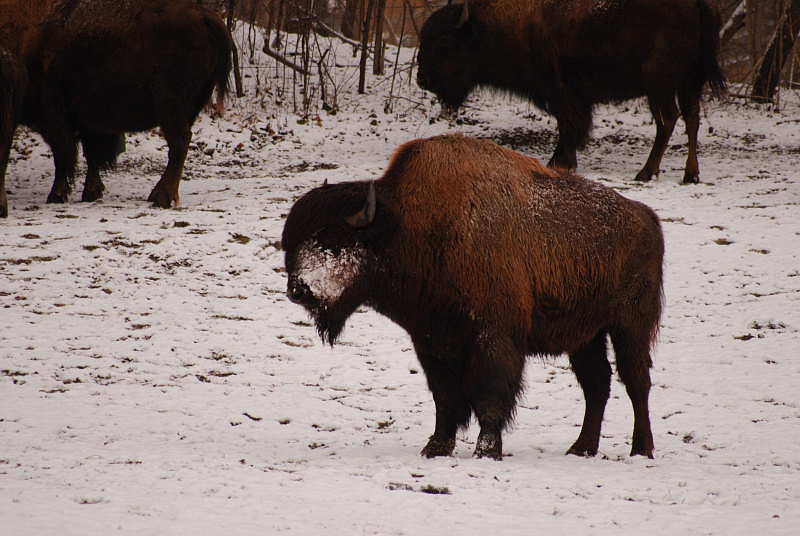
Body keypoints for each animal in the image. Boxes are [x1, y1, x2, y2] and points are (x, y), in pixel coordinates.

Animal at [0, 0, 233, 209]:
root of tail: (204, 15)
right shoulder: (86, 118)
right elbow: (89, 153)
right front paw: (92, 193)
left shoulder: (52, 113)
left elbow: (64, 155)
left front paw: (56, 195)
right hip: (189, 105)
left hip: (170, 104)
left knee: (179, 142)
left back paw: (161, 198)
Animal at [282, 134, 664, 459]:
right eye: (291, 246)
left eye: (332, 241)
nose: (298, 290)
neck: (408, 226)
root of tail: (646, 217)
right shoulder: (431, 342)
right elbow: (445, 398)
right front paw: (435, 448)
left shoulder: (492, 337)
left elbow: (488, 395)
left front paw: (486, 451)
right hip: (586, 336)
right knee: (597, 383)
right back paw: (581, 448)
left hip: (629, 327)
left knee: (636, 381)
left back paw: (641, 449)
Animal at [417, 0, 726, 183]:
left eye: (445, 40)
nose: (422, 79)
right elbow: (567, 128)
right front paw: (559, 161)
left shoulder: (560, 92)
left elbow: (567, 127)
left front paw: (560, 162)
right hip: (689, 83)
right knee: (691, 119)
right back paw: (690, 174)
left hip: (659, 83)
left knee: (668, 120)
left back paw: (646, 172)